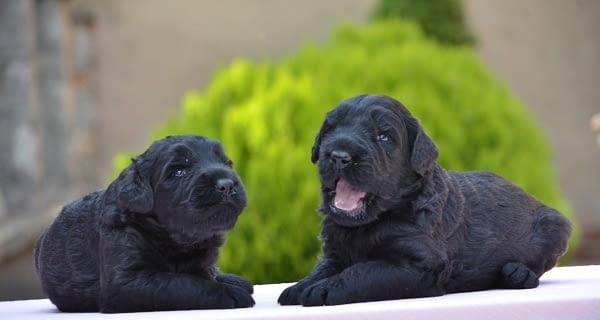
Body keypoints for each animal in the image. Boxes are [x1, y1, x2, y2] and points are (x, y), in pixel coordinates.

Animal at [33, 134, 253, 312]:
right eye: (179, 171)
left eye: (227, 163)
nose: (226, 185)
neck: (175, 239)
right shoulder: (125, 281)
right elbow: (181, 282)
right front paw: (229, 292)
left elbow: (202, 273)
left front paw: (226, 281)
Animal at [278, 95, 568, 308]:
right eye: (330, 129)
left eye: (384, 137)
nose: (339, 156)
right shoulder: (336, 251)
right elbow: (324, 268)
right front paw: (300, 286)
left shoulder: (419, 265)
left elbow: (361, 272)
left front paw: (322, 290)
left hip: (555, 224)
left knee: (540, 266)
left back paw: (518, 274)